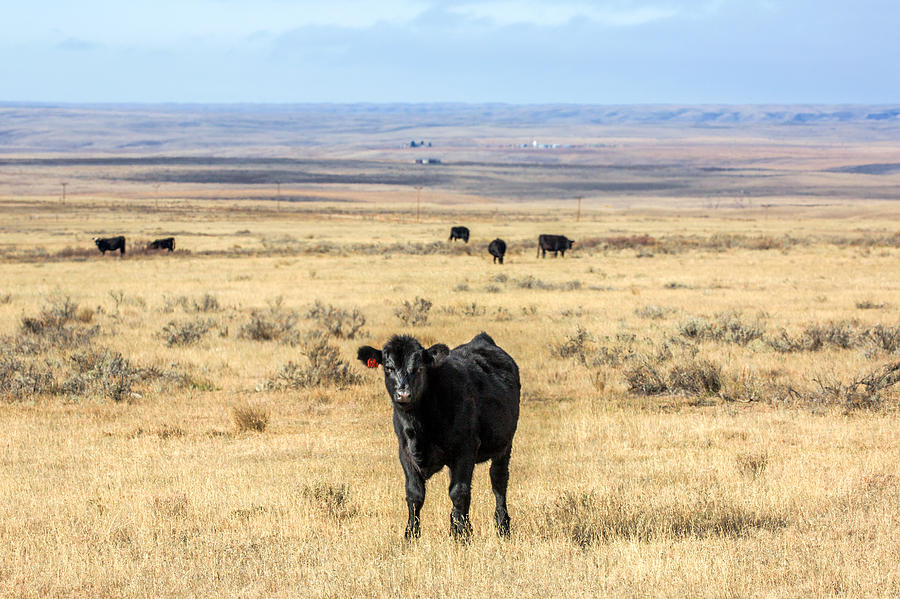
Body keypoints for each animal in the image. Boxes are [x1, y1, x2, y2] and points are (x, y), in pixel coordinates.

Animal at [356, 332, 516, 540]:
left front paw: (461, 536)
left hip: (504, 445)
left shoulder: (465, 451)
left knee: (498, 481)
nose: (403, 394)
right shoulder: (405, 452)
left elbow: (459, 492)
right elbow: (414, 494)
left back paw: (502, 526)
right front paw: (411, 534)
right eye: (388, 368)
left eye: (418, 368)